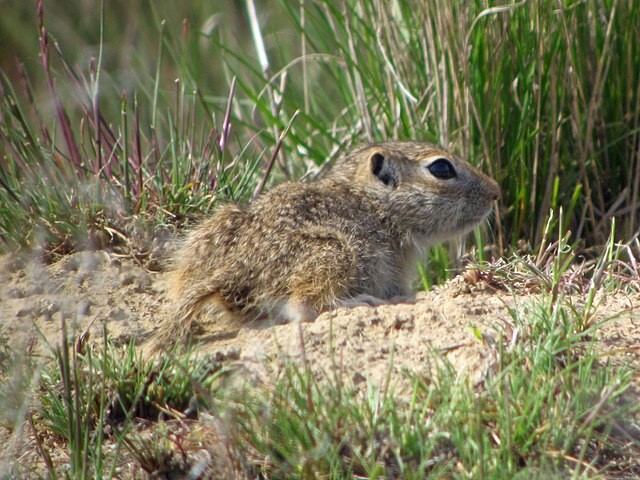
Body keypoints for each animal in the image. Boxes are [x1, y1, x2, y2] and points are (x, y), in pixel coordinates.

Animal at [155, 141, 500, 347]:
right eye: (441, 168)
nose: (495, 192)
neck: (377, 204)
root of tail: (233, 273)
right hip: (333, 251)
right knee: (304, 307)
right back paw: (358, 303)